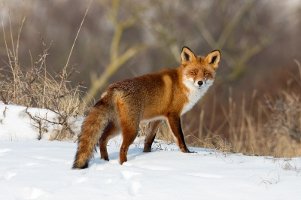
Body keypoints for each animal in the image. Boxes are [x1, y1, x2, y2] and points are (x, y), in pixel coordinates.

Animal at [71, 46, 219, 169]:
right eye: (193, 72)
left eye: (206, 73)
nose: (200, 82)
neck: (183, 84)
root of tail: (113, 88)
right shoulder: (173, 115)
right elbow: (180, 138)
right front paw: (187, 153)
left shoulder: (157, 119)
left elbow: (149, 140)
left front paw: (147, 154)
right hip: (132, 129)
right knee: (122, 148)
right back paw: (125, 165)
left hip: (118, 126)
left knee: (102, 139)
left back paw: (105, 161)